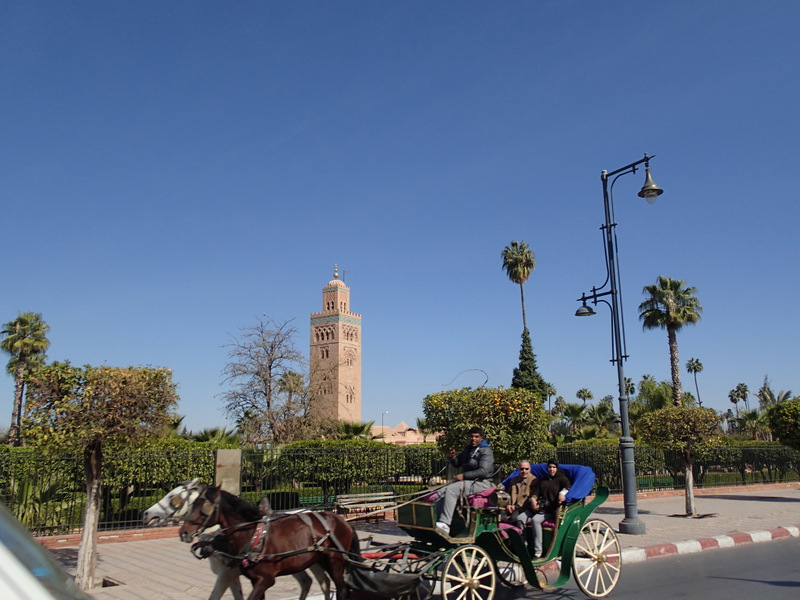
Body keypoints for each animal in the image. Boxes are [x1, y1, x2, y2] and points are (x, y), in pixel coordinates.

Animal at [142, 480, 330, 600]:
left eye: (173, 497)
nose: (146, 514)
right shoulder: (232, 574)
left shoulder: (227, 573)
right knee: (307, 582)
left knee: (323, 582)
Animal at [180, 486, 360, 600]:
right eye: (192, 504)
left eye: (204, 508)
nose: (183, 532)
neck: (252, 535)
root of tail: (342, 521)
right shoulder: (252, 579)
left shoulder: (264, 580)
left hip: (335, 560)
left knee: (341, 590)